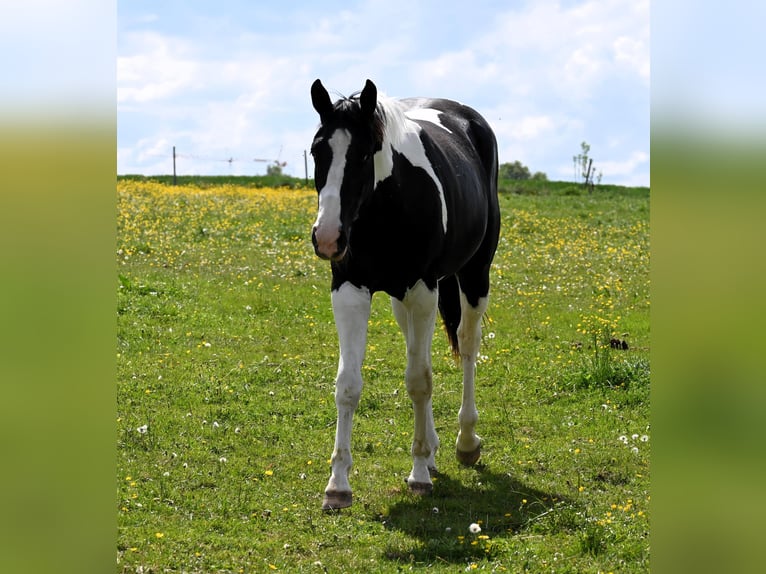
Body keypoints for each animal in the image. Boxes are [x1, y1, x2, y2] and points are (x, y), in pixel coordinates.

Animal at [309, 79, 500, 510]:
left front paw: (417, 474)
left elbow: (419, 380)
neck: (384, 208)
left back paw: (465, 442)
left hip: (473, 274)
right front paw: (338, 484)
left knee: (467, 344)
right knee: (421, 349)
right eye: (317, 151)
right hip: (403, 300)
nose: (327, 238)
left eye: (364, 154)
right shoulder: (349, 289)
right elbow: (348, 384)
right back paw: (431, 449)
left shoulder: (423, 287)